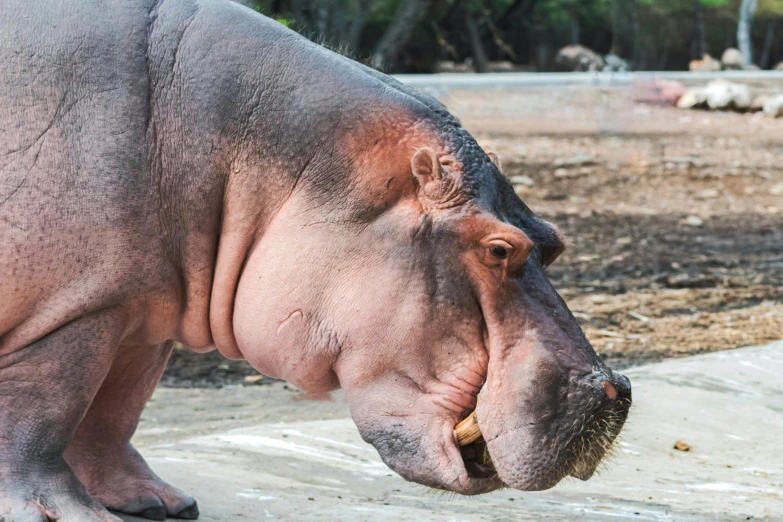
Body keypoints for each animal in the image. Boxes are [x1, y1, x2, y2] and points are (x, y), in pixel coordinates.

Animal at [0, 0, 632, 516]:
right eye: (499, 248)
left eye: (552, 239)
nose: (615, 390)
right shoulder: (72, 309)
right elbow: (43, 413)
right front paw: (64, 514)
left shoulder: (140, 310)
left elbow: (115, 411)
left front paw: (161, 503)